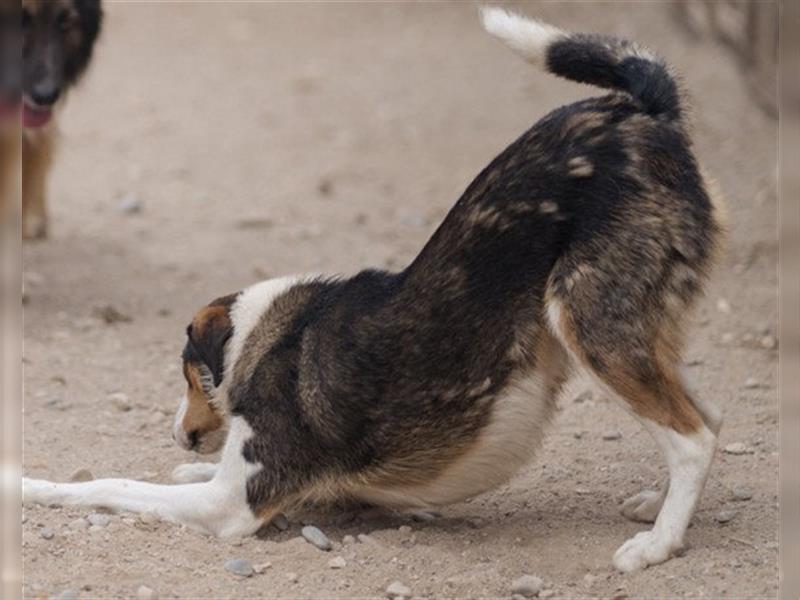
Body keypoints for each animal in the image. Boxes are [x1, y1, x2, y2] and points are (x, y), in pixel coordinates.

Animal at [23, 9, 724, 572]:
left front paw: (31, 485)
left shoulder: (233, 503)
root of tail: (643, 110)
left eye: (190, 376)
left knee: (693, 436)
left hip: (591, 321)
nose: (180, 434)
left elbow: (110, 484)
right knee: (704, 417)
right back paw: (658, 505)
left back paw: (658, 544)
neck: (260, 335)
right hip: (644, 329)